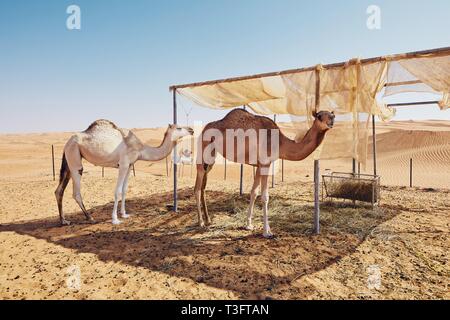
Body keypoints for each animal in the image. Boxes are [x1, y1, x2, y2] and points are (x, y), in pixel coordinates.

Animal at [55, 119, 193, 226]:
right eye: (179, 127)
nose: (191, 129)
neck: (140, 148)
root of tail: (66, 143)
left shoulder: (130, 165)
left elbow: (125, 190)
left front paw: (124, 214)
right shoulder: (123, 164)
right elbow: (117, 192)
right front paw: (115, 219)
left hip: (69, 161)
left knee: (59, 191)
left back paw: (63, 221)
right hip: (74, 157)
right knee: (76, 192)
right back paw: (90, 218)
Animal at [195, 109, 336, 238]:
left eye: (331, 114)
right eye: (319, 116)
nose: (332, 120)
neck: (279, 142)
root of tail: (204, 129)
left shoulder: (259, 165)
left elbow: (254, 193)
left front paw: (249, 225)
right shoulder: (265, 163)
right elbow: (265, 196)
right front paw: (267, 232)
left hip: (211, 159)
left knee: (203, 186)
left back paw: (208, 220)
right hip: (202, 153)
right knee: (197, 187)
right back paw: (201, 222)